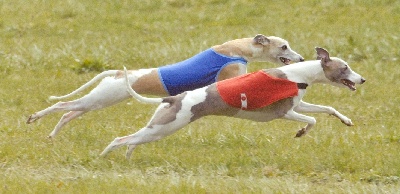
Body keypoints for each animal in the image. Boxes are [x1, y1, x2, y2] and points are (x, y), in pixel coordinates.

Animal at [27, 34, 304, 138]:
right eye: (284, 46)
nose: (301, 59)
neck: (235, 48)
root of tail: (115, 73)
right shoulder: (231, 76)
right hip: (99, 99)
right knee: (62, 105)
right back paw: (34, 117)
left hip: (98, 101)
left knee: (69, 113)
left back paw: (52, 134)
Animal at [100, 47, 366, 159]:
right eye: (345, 67)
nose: (362, 79)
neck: (299, 75)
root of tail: (175, 97)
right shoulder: (284, 112)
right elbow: (311, 120)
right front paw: (301, 132)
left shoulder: (297, 105)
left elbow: (328, 109)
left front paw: (346, 120)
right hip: (166, 126)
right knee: (120, 139)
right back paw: (103, 157)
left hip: (158, 127)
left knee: (132, 142)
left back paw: (127, 158)